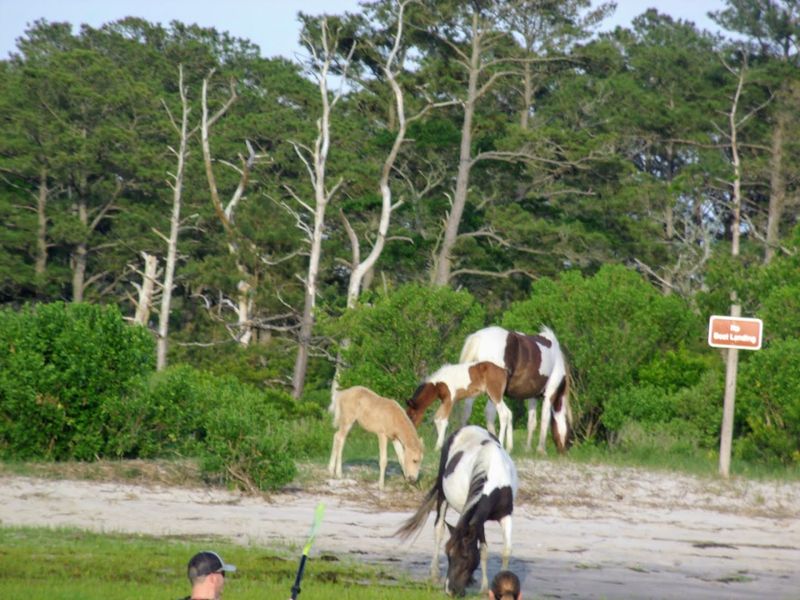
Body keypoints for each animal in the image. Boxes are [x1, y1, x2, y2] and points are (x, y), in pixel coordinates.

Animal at [396, 425, 517, 596]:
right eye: (448, 555)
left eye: (465, 556)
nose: (449, 590)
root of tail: (468, 427)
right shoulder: (478, 519)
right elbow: (483, 550)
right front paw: (484, 588)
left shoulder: (506, 515)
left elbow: (504, 551)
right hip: (442, 495)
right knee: (439, 529)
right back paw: (434, 573)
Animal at [459, 325, 572, 454]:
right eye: (569, 430)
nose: (564, 451)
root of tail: (480, 337)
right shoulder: (549, 394)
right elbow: (545, 419)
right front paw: (541, 449)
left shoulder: (532, 396)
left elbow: (531, 422)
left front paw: (528, 448)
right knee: (495, 414)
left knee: (468, 412)